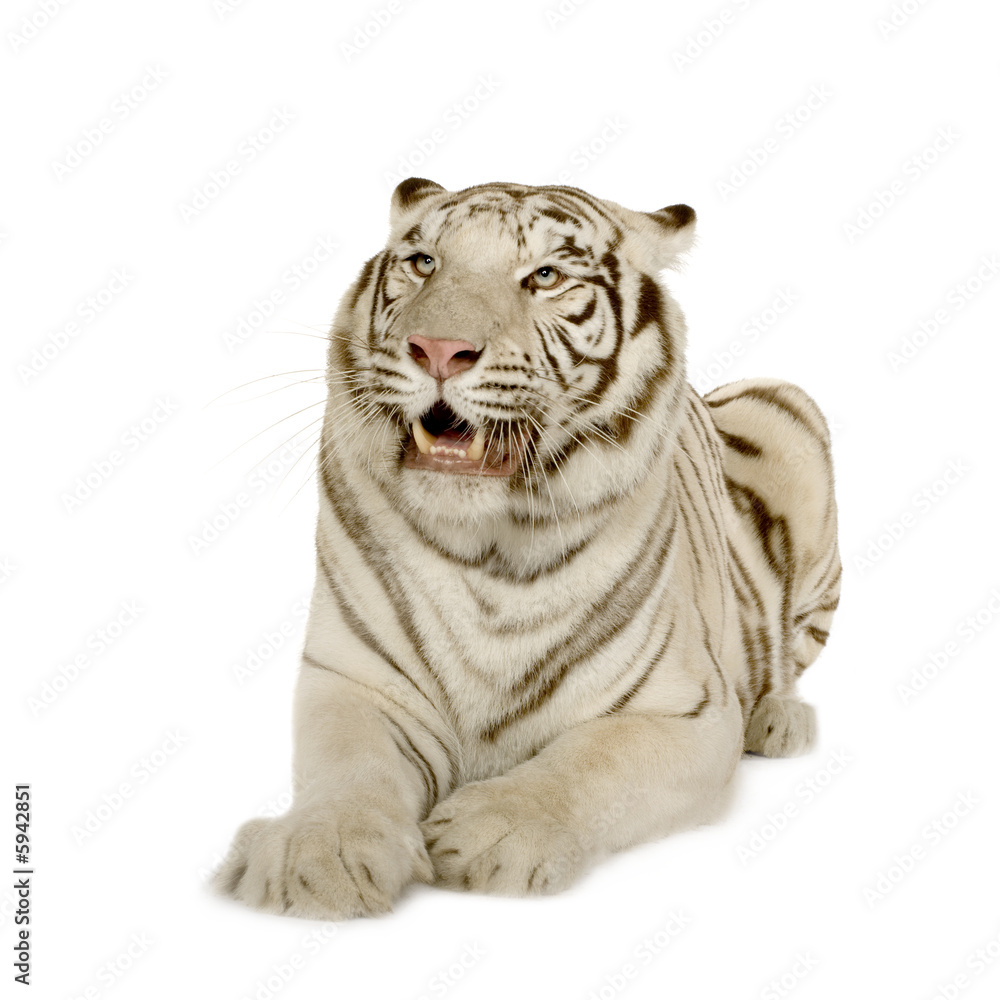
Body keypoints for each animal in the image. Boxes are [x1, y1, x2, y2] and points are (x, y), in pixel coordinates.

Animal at [214, 177, 841, 918]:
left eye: (544, 276)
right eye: (424, 262)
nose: (437, 348)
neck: (490, 547)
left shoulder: (686, 709)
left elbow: (594, 761)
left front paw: (493, 833)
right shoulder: (356, 680)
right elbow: (349, 768)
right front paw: (317, 858)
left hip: (789, 409)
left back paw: (781, 721)